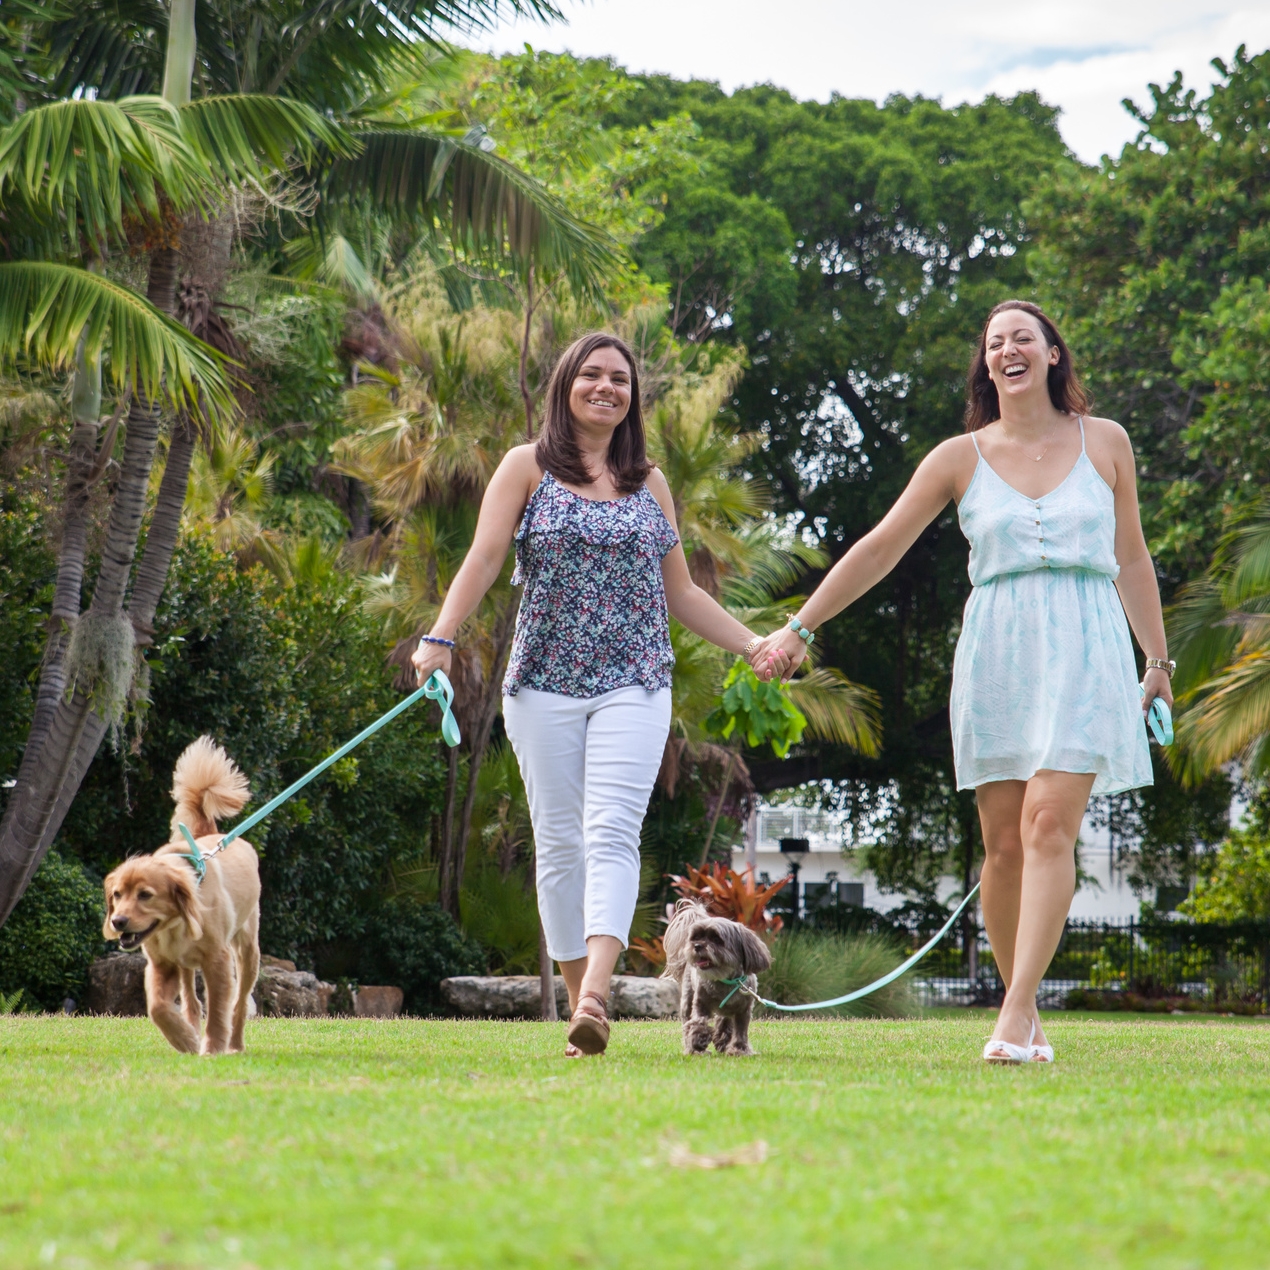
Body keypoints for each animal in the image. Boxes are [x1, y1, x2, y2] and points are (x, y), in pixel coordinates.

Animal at [104, 736, 262, 1051]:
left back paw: (235, 1043)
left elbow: (219, 1012)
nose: (118, 922)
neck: (173, 927)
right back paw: (191, 1027)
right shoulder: (162, 965)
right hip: (185, 966)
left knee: (238, 1004)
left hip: (247, 950)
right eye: (117, 894)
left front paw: (212, 1048)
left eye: (145, 895)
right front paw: (185, 1039)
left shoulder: (218, 961)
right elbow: (158, 1008)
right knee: (191, 1000)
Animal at [665, 899, 772, 1056]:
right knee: (687, 1022)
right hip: (687, 999)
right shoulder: (700, 1002)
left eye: (716, 939)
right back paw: (693, 1048)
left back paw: (722, 1041)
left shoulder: (743, 1010)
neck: (724, 979)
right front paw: (698, 1040)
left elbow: (741, 1031)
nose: (697, 946)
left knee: (724, 1021)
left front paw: (739, 1050)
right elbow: (698, 1022)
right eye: (696, 937)